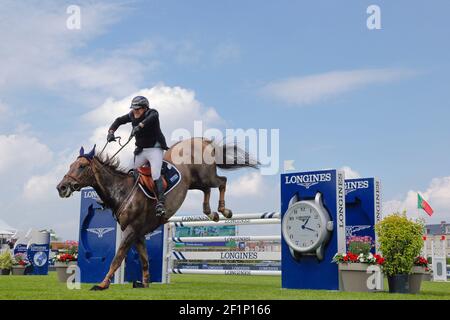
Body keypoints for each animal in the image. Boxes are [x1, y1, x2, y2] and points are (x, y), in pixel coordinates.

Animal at [56, 138, 260, 290]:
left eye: (82, 166)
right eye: (71, 165)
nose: (61, 187)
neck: (122, 191)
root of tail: (202, 140)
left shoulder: (130, 231)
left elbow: (117, 258)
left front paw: (102, 284)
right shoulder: (138, 234)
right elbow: (144, 259)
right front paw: (145, 283)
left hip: (205, 176)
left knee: (221, 181)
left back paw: (224, 210)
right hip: (195, 181)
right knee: (207, 190)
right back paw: (211, 213)